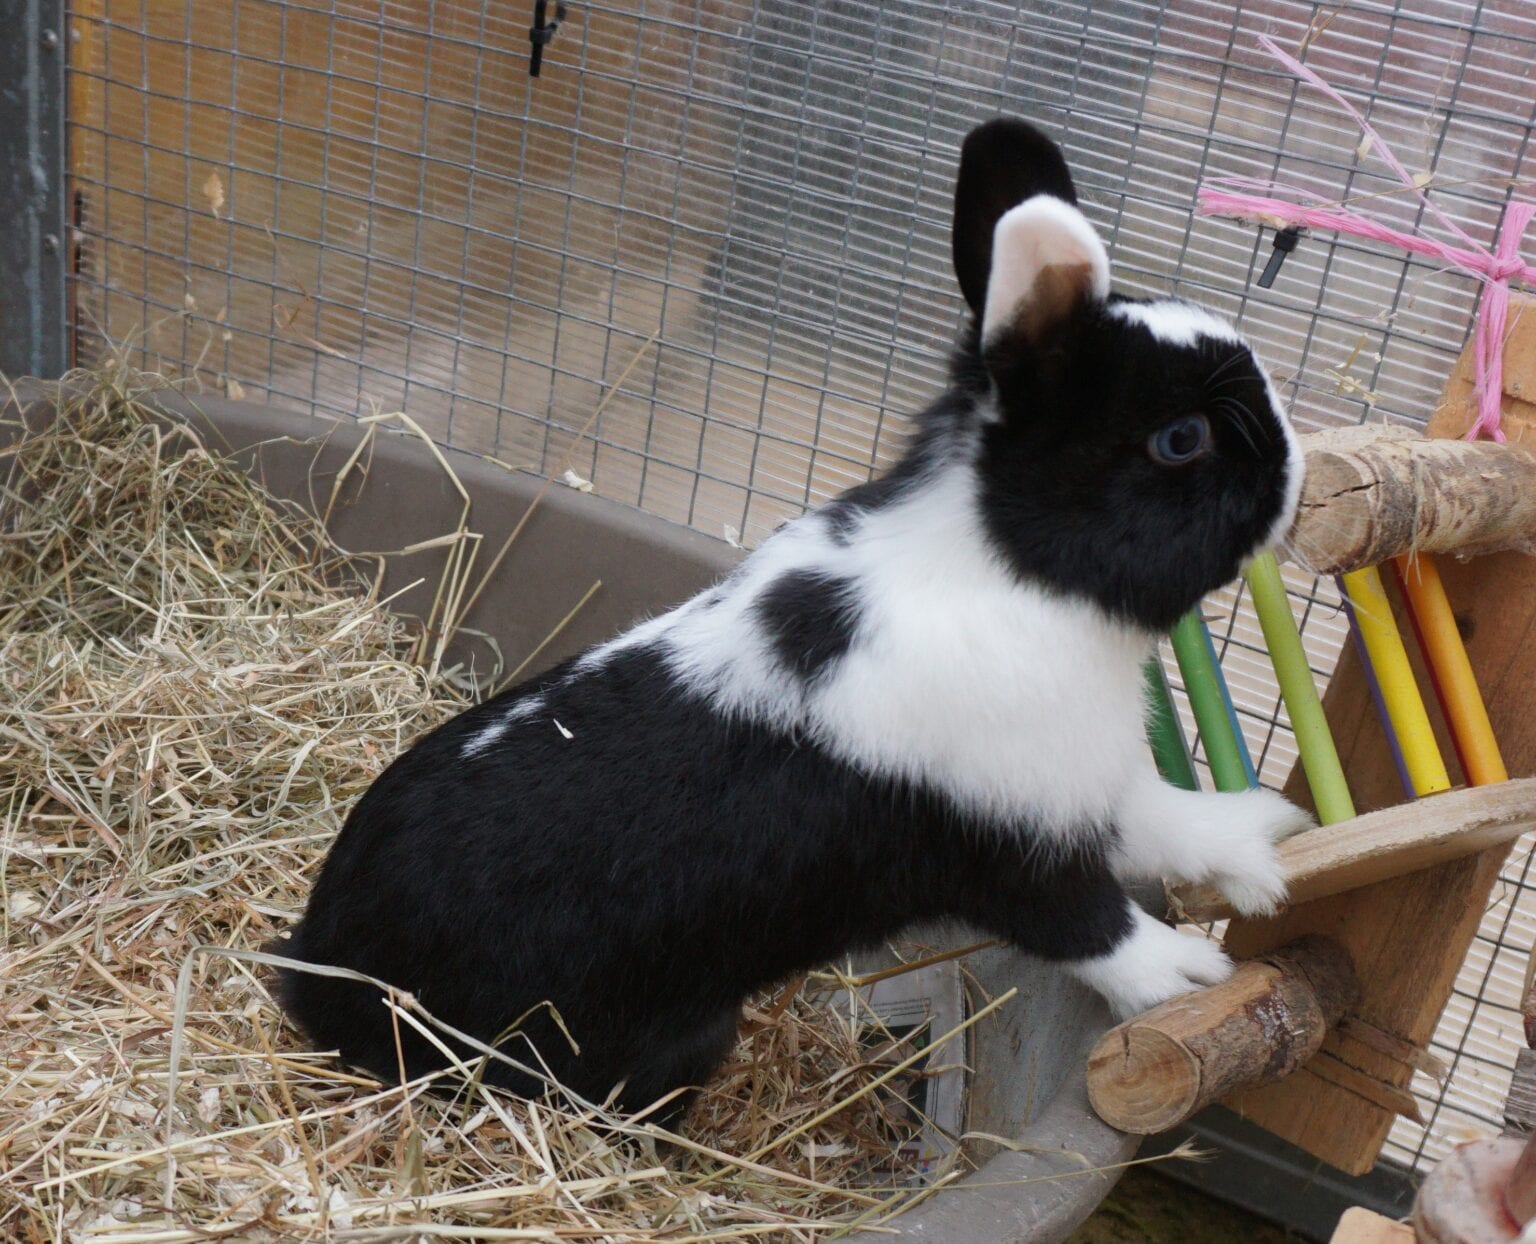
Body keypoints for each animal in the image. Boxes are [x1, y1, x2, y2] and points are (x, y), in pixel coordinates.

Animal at [277, 117, 1311, 1123]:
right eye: (1182, 439)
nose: (1299, 478)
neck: (1015, 575)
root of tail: (311, 971)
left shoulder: (1080, 786)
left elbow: (1168, 820)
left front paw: (1268, 841)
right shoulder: (1004, 849)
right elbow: (1093, 924)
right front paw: (1191, 977)